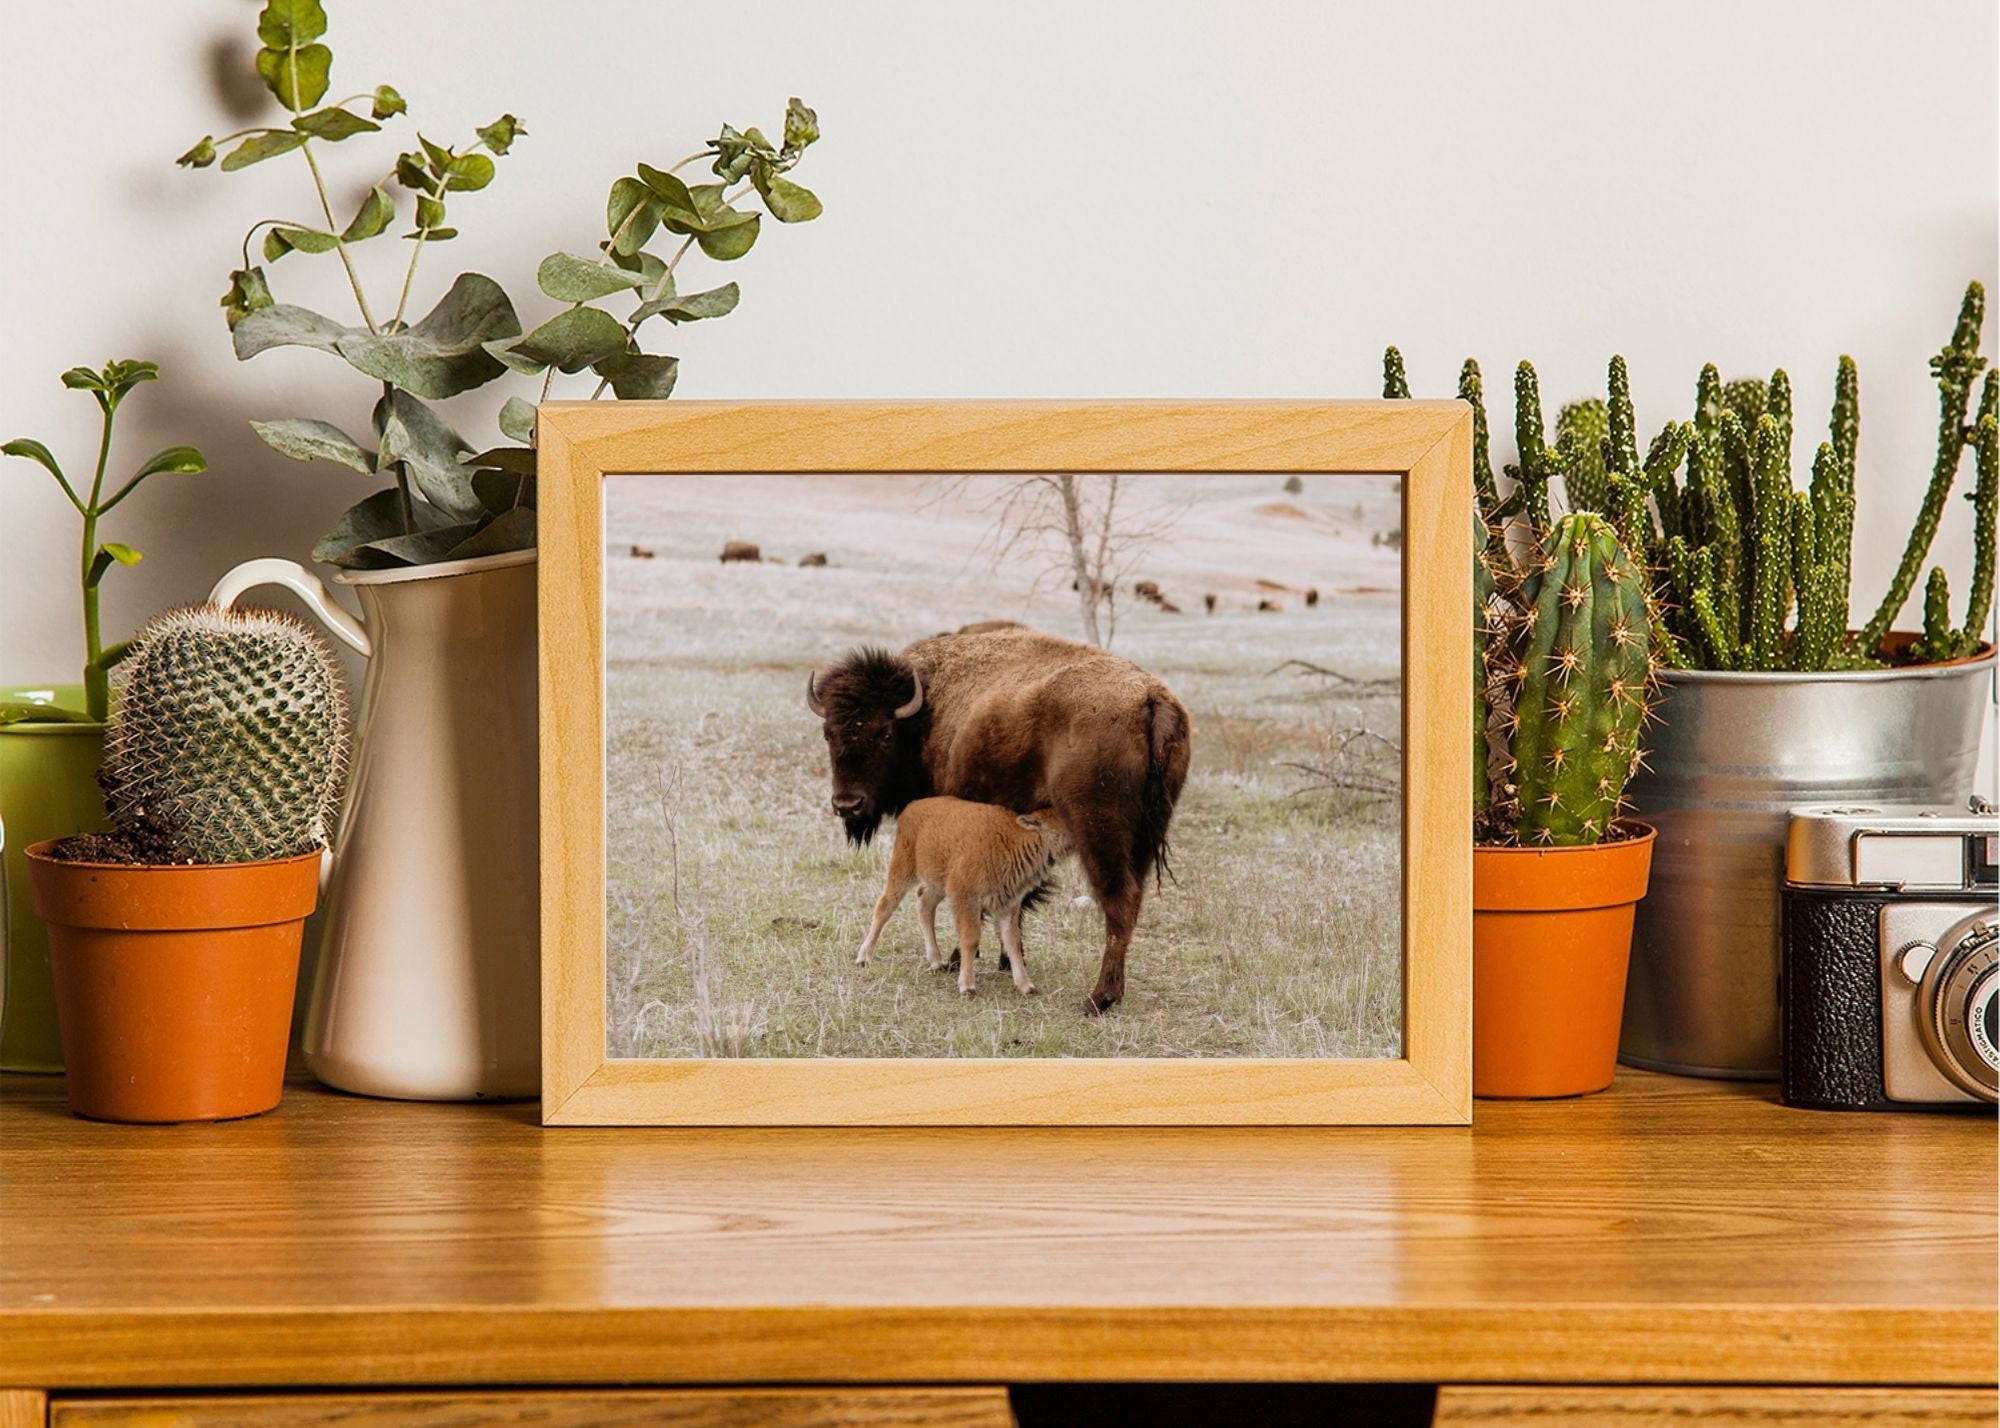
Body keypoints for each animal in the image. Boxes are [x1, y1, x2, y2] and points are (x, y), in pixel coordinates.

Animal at [806, 622, 1192, 1014]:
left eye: (885, 734)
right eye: (828, 734)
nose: (848, 804)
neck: (927, 708)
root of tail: (1150, 700)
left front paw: (965, 961)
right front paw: (1007, 961)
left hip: (1098, 833)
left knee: (1117, 901)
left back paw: (1099, 998)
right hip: (1144, 839)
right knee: (1133, 899)